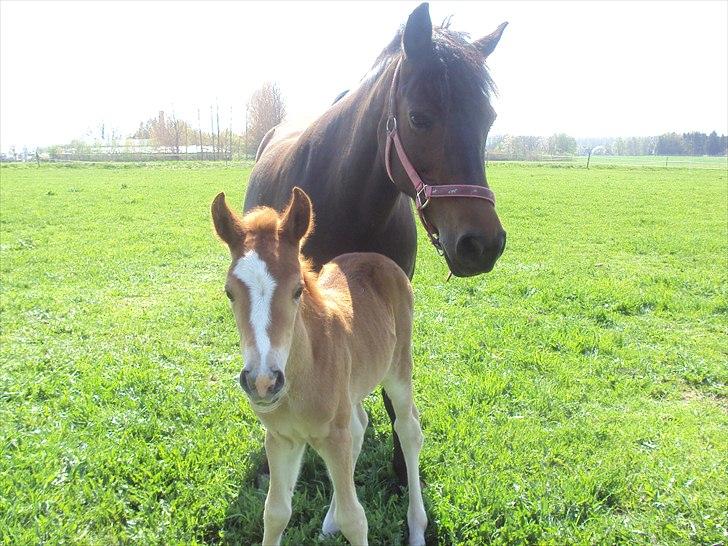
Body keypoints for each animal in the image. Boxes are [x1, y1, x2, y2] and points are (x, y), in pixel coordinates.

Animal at [210, 188, 426, 544]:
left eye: (298, 289)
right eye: (229, 292)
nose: (262, 382)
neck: (302, 377)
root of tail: (377, 258)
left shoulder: (334, 436)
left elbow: (356, 519)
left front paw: (346, 519)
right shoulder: (280, 438)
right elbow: (275, 513)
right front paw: (328, 517)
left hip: (399, 369)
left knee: (408, 430)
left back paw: (417, 529)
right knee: (359, 424)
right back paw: (329, 520)